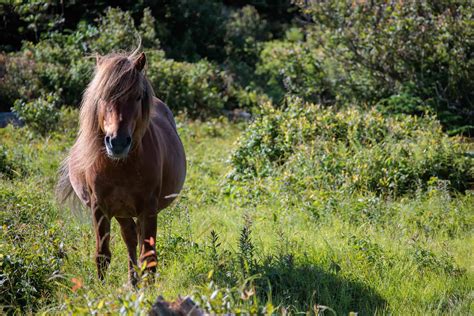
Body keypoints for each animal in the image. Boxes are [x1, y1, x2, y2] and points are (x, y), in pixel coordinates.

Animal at [56, 51, 186, 284]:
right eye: (102, 96)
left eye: (137, 96)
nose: (117, 142)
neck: (120, 167)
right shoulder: (99, 208)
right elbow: (103, 254)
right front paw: (101, 288)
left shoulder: (148, 208)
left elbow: (149, 256)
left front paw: (149, 289)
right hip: (121, 211)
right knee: (130, 237)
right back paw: (133, 281)